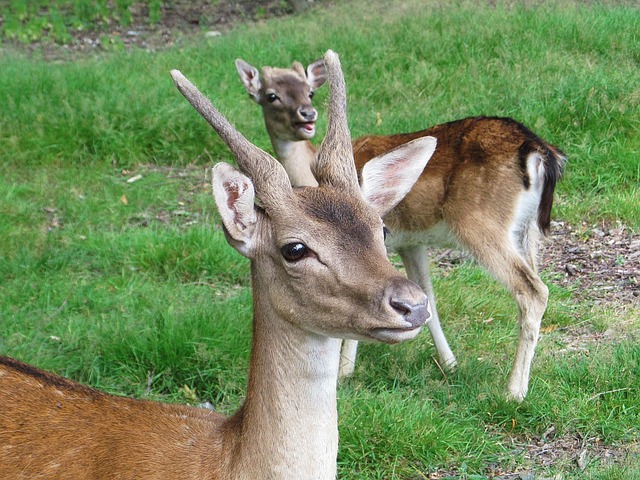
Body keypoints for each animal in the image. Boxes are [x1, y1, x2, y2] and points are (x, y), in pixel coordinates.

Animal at [235, 56, 564, 402]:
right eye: (271, 95)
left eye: (310, 92)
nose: (307, 115)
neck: (306, 177)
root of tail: (539, 151)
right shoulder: (411, 242)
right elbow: (427, 296)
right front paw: (450, 364)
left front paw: (344, 371)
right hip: (529, 231)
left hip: (481, 224)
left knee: (533, 291)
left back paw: (514, 391)